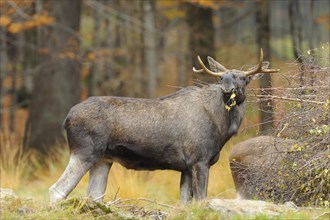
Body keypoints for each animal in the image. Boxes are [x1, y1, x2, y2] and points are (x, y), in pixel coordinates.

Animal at [49, 49, 280, 203]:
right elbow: (201, 200)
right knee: (57, 191)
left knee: (94, 196)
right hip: (84, 152)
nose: (226, 88)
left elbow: (185, 203)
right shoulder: (199, 160)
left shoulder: (186, 167)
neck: (221, 128)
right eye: (222, 77)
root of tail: (67, 118)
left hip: (103, 160)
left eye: (243, 78)